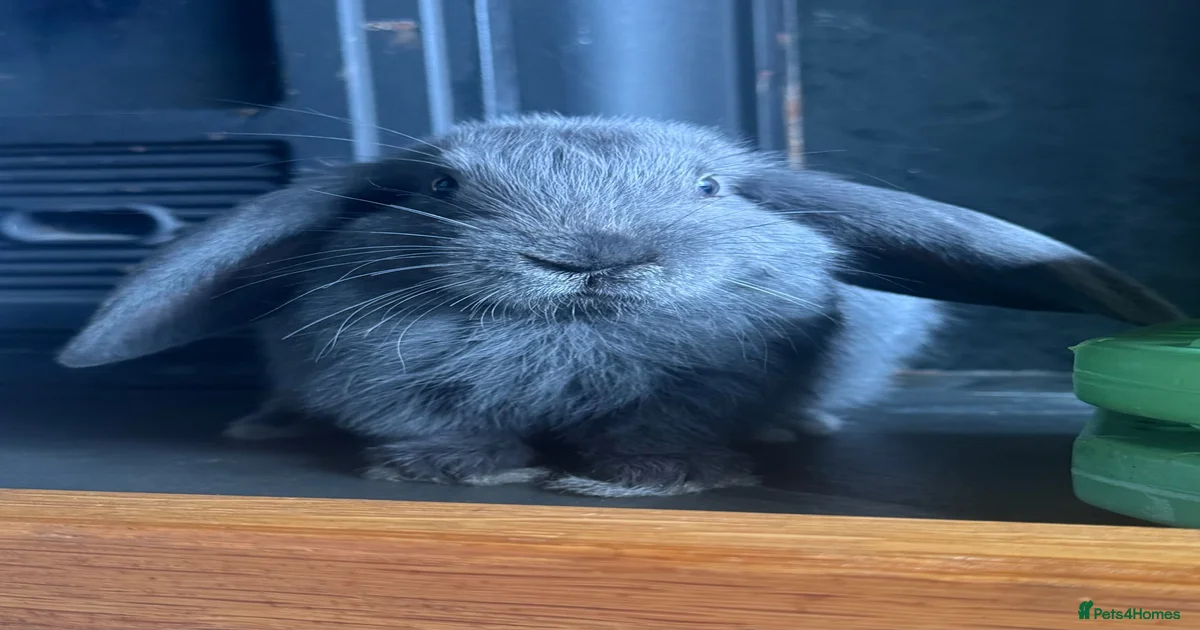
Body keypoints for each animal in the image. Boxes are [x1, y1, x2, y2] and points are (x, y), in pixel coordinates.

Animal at [55, 114, 1185, 497]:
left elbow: (661, 433)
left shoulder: (697, 393)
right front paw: (478, 472)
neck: (570, 339)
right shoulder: (392, 386)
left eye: (710, 188)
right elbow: (435, 429)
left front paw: (652, 482)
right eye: (441, 188)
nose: (591, 257)